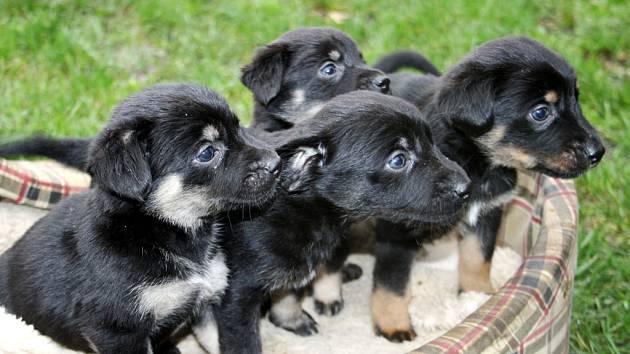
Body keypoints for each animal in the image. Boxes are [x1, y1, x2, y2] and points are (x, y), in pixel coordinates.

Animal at [0, 83, 282, 354]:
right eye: (206, 152)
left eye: (239, 128)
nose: (276, 162)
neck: (155, 231)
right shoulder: (118, 330)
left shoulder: (209, 305)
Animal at [215, 92, 472, 354]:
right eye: (398, 160)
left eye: (432, 143)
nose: (467, 188)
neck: (300, 204)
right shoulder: (237, 295)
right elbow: (245, 342)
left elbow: (289, 292)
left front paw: (291, 319)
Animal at [368, 36, 608, 342]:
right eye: (541, 112)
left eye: (576, 99)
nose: (598, 152)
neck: (472, 160)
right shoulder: (396, 232)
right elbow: (392, 282)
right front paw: (393, 326)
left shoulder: (486, 213)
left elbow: (478, 257)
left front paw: (478, 297)